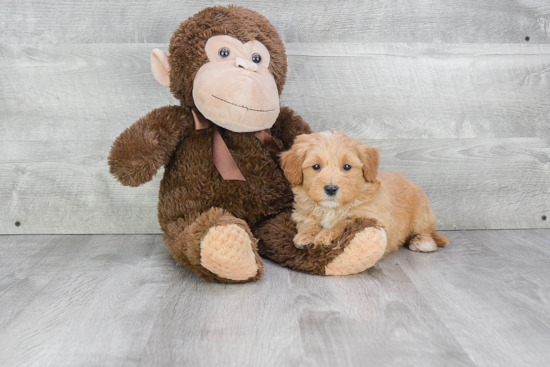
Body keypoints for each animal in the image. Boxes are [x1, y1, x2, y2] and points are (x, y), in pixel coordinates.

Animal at [280, 131, 448, 254]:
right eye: (316, 166)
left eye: (347, 167)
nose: (331, 189)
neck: (332, 208)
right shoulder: (303, 212)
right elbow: (308, 223)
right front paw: (305, 237)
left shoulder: (371, 216)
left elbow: (344, 222)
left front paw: (325, 235)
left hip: (421, 216)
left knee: (425, 231)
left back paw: (422, 242)